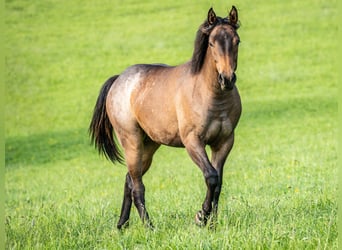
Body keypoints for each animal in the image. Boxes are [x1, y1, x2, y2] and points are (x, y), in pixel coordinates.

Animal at [89, 5, 242, 229]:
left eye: (237, 41)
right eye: (212, 43)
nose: (227, 79)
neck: (210, 95)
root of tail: (118, 80)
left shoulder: (224, 142)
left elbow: (218, 182)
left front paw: (211, 224)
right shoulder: (192, 141)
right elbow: (211, 177)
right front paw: (201, 217)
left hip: (149, 145)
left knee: (129, 180)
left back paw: (122, 225)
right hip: (132, 142)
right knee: (137, 186)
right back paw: (148, 226)